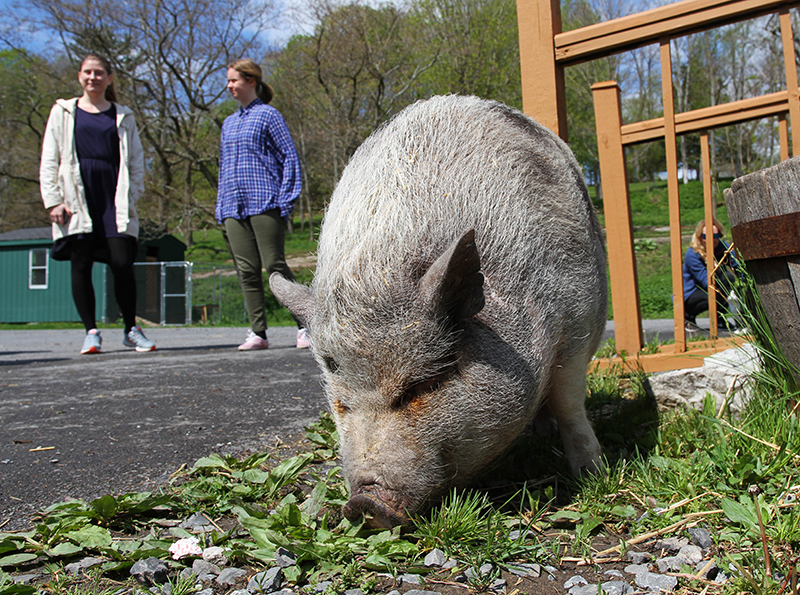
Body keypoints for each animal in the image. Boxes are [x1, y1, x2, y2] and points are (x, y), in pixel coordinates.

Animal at [272, 95, 608, 528]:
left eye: (421, 386)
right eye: (341, 402)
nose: (363, 504)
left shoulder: (577, 324)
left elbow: (570, 404)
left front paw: (592, 474)